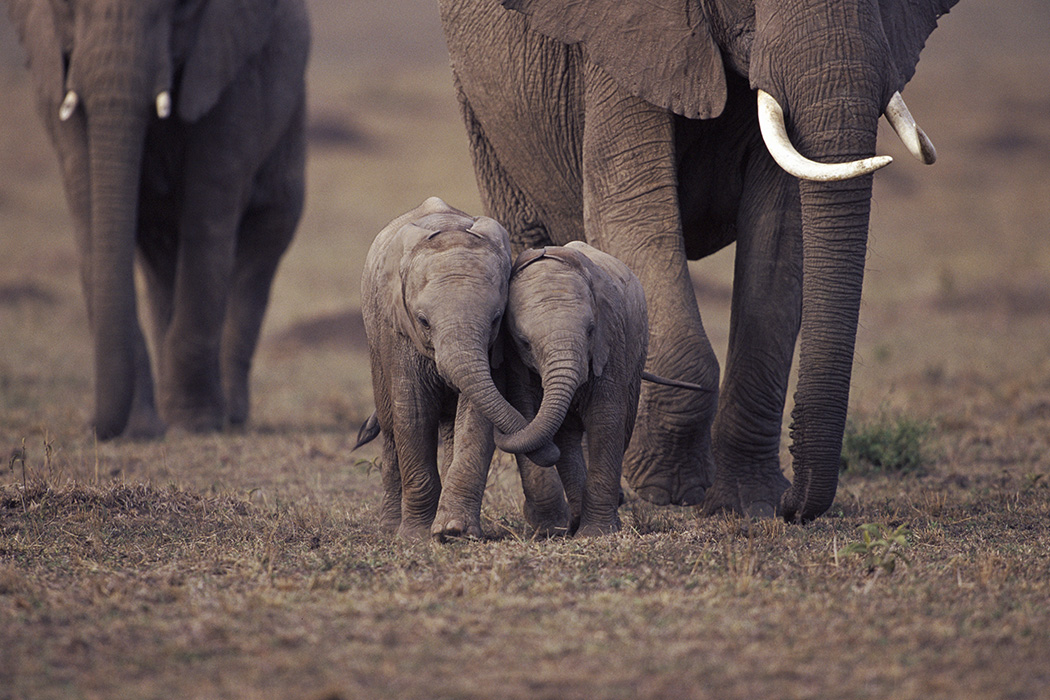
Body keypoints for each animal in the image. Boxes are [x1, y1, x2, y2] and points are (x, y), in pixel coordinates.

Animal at [9, 0, 310, 438]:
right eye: (66, 7)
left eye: (180, 7)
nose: (95, 428)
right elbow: (88, 210)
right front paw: (140, 430)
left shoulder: (229, 72)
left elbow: (208, 212)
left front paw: (195, 424)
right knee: (159, 253)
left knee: (266, 238)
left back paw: (230, 415)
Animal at [359, 197, 558, 541]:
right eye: (423, 321)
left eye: (495, 319)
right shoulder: (399, 333)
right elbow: (413, 415)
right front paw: (416, 536)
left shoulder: (494, 348)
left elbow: (476, 417)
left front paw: (454, 531)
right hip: (375, 341)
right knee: (389, 426)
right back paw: (389, 526)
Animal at [495, 241, 651, 537]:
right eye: (524, 343)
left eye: (590, 331)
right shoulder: (514, 361)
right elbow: (525, 414)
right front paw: (550, 527)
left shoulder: (611, 340)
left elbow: (605, 418)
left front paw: (597, 533)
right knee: (566, 437)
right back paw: (576, 520)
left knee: (623, 424)